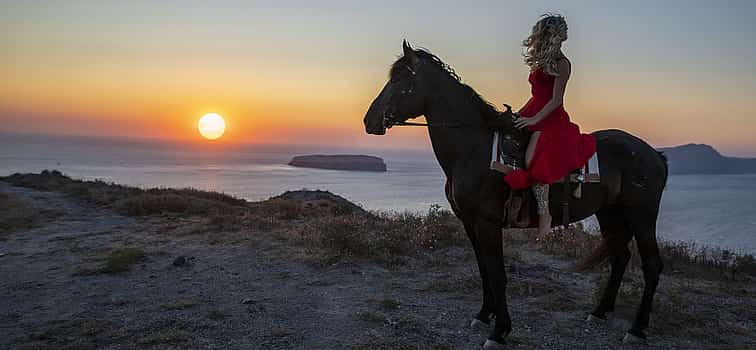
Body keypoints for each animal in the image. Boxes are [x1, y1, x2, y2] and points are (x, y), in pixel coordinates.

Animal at [364, 41, 664, 350]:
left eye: (399, 80)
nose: (369, 119)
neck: (473, 150)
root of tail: (654, 154)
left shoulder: (487, 223)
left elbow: (498, 275)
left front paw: (499, 331)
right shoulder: (469, 222)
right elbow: (484, 270)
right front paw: (484, 315)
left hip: (642, 216)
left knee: (652, 266)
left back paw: (637, 328)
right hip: (610, 213)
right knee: (620, 258)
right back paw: (600, 311)